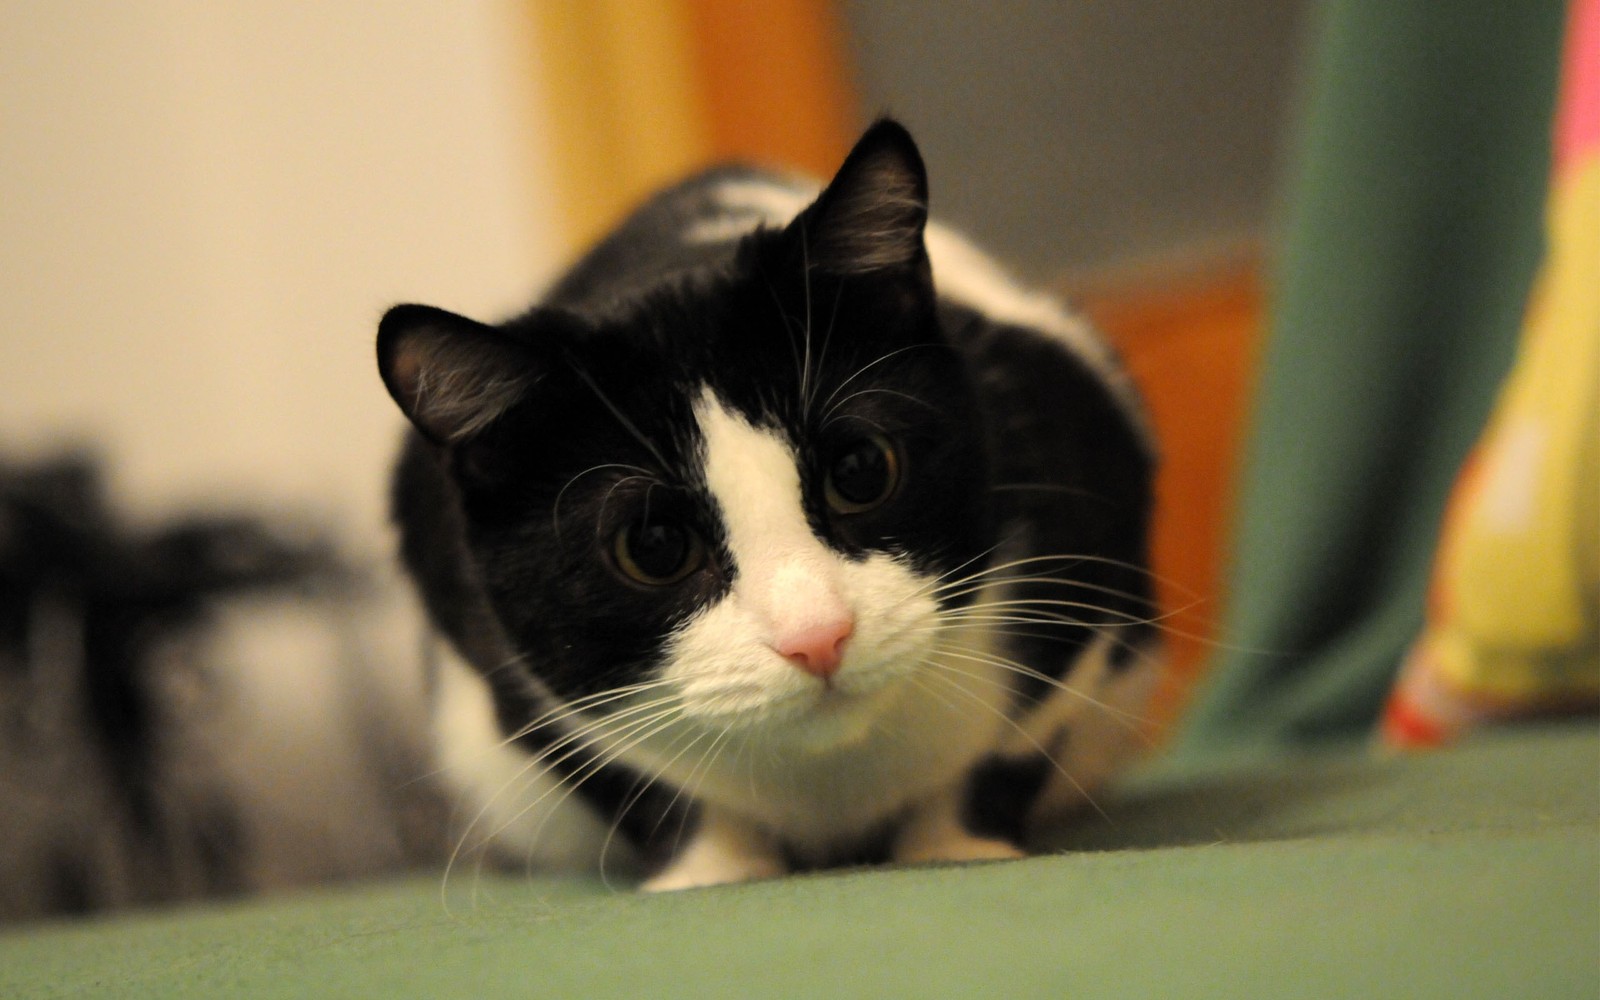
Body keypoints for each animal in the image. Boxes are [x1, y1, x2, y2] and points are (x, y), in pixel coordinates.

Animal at [380, 119, 1158, 889]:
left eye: (860, 470)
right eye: (653, 545)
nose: (818, 636)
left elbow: (1015, 742)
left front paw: (956, 842)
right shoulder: (491, 645)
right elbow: (622, 774)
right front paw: (709, 867)